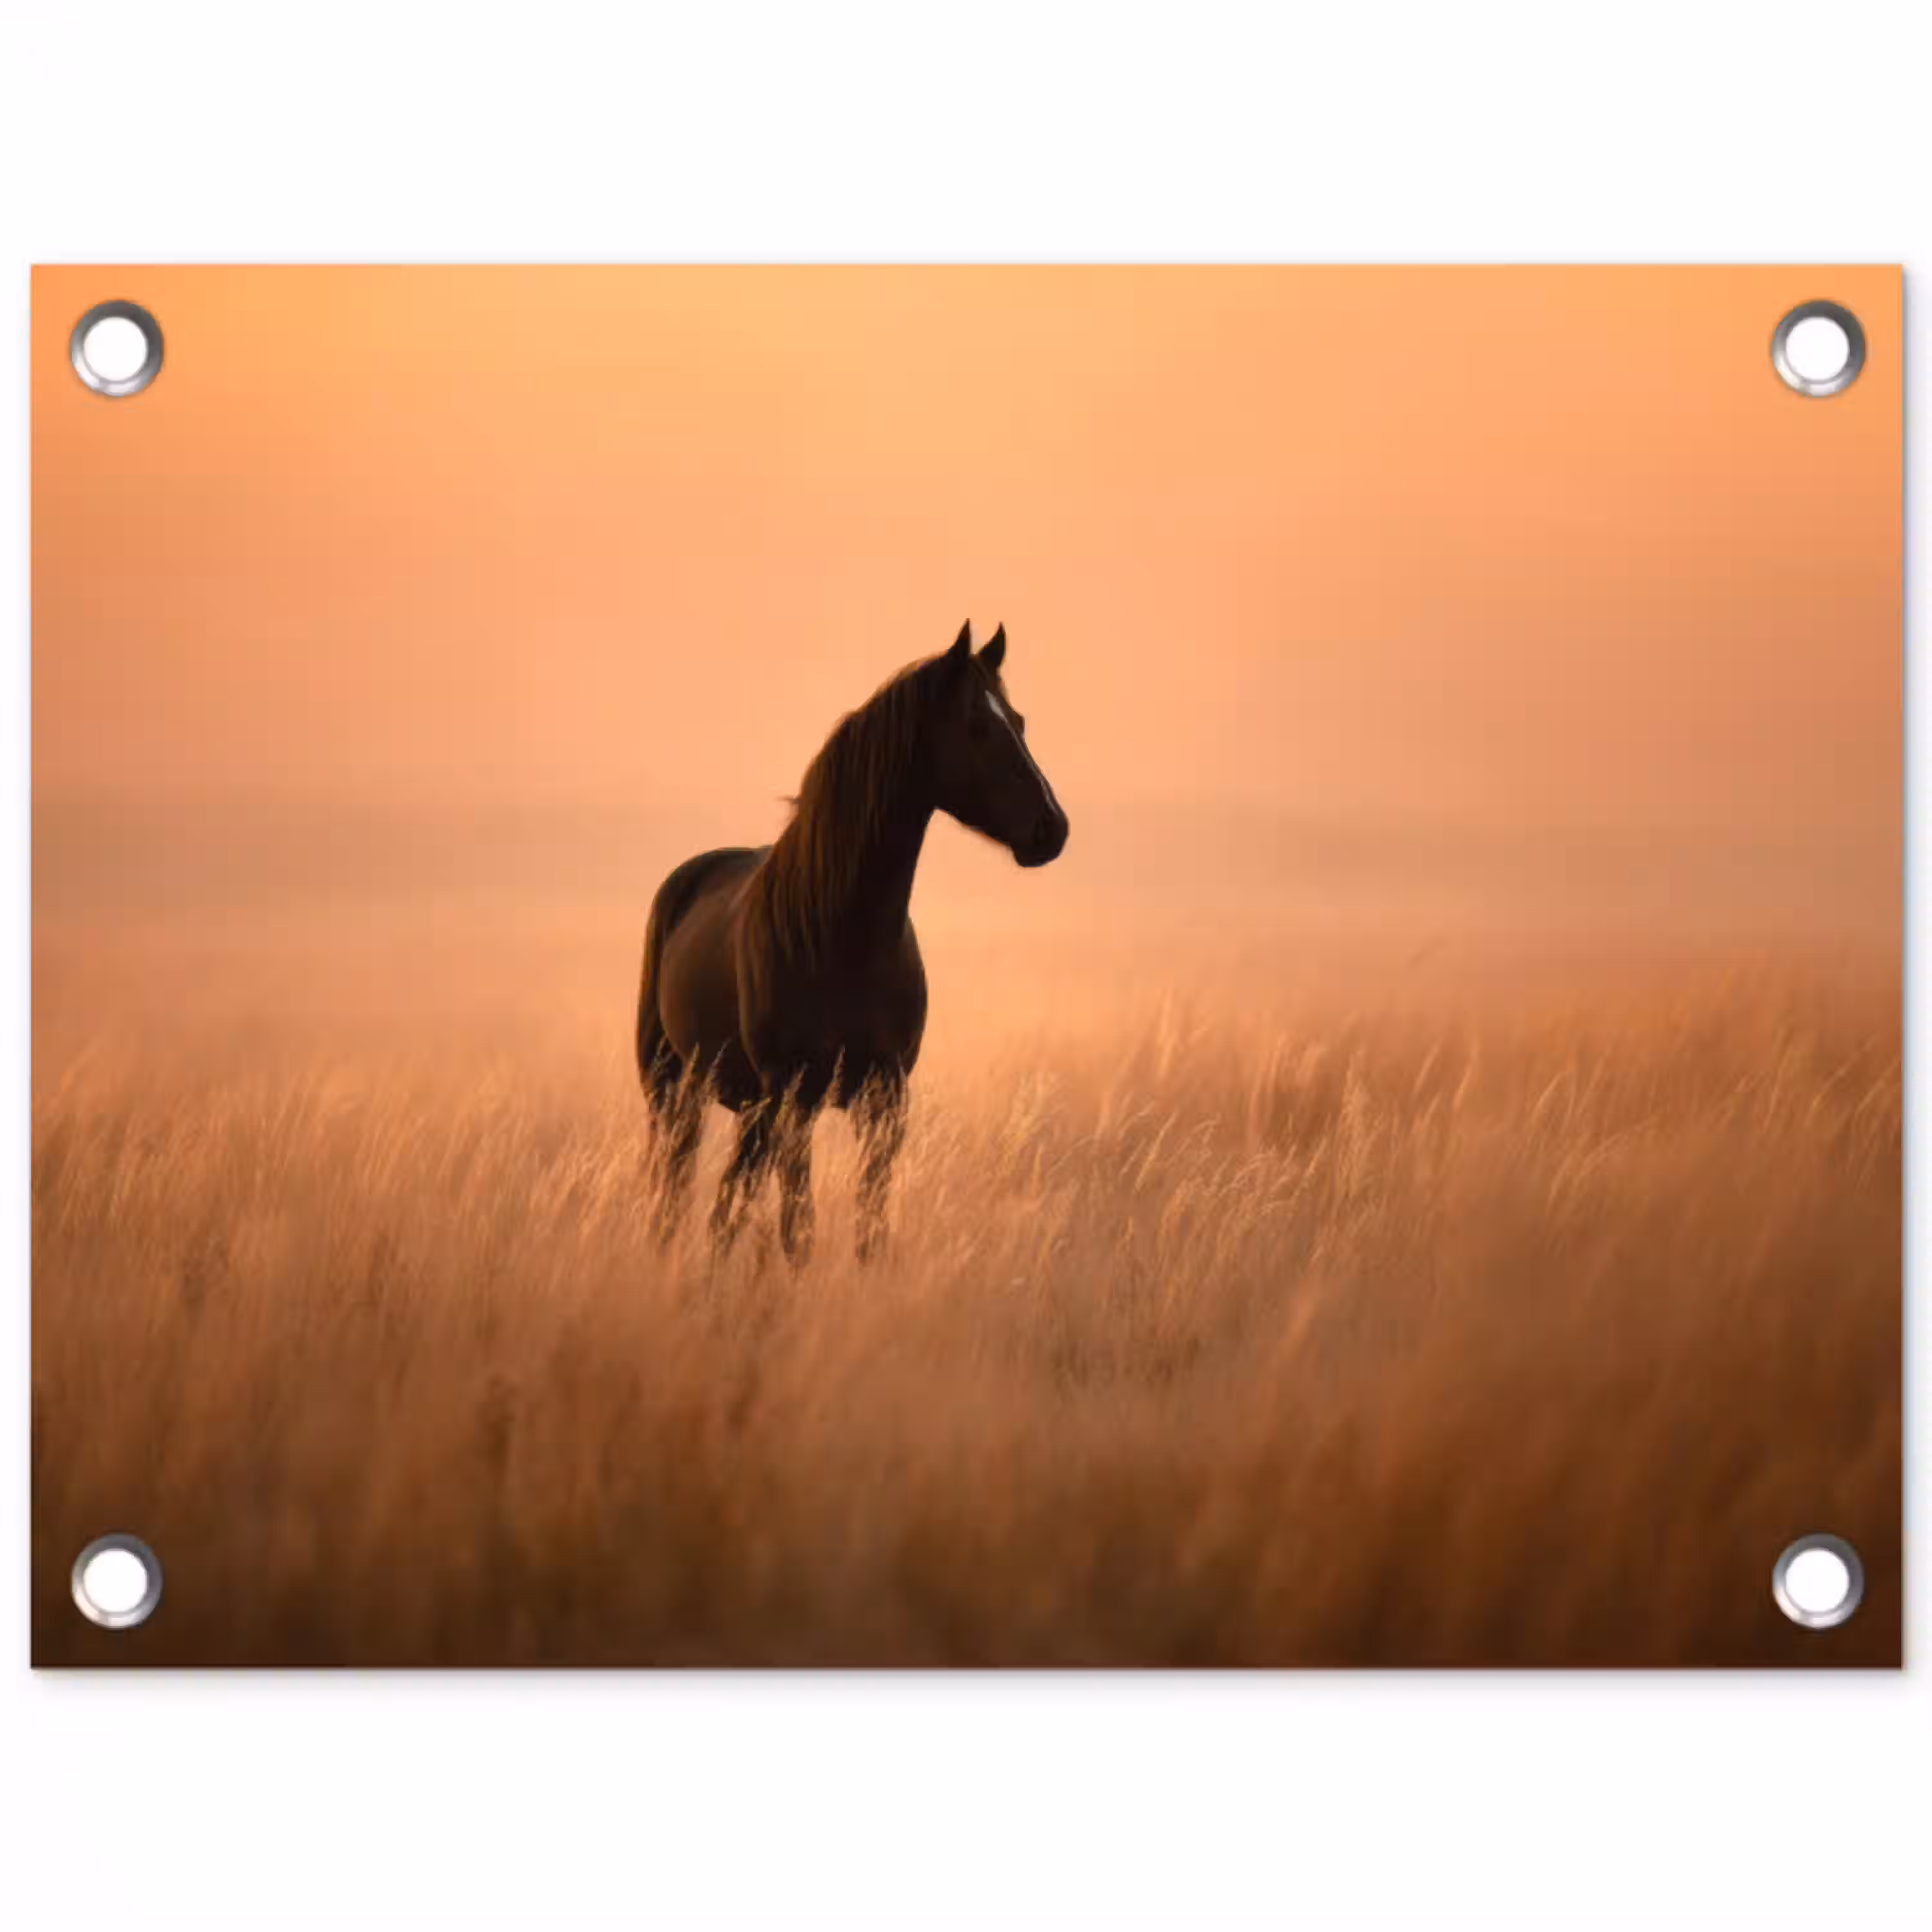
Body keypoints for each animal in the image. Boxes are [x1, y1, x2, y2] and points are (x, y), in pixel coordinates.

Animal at [635, 620, 1069, 1263]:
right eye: (977, 725)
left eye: (1018, 720)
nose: (1052, 829)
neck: (843, 937)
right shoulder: (795, 1099)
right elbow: (798, 1230)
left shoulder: (884, 1101)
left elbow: (870, 1228)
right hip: (676, 1090)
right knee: (679, 1196)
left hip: (747, 1107)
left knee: (727, 1203)